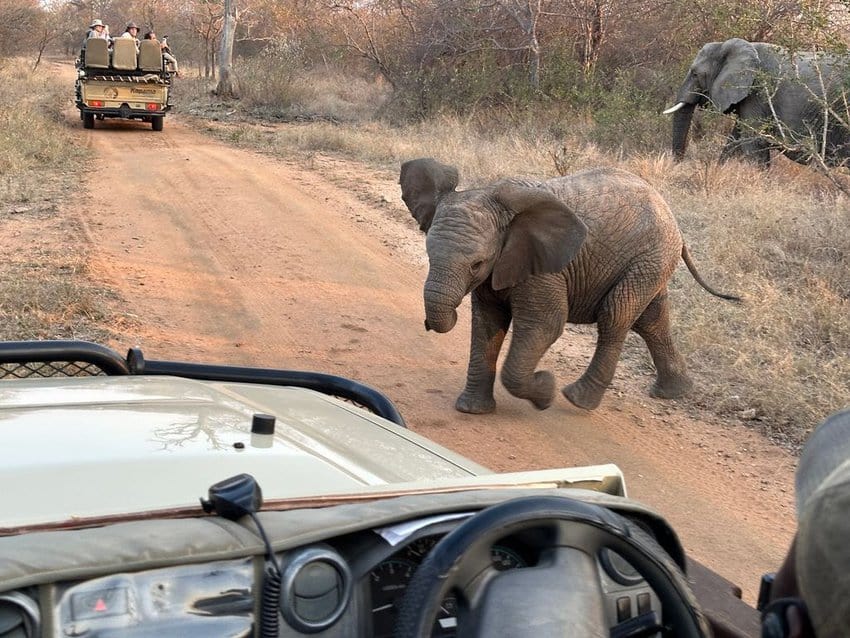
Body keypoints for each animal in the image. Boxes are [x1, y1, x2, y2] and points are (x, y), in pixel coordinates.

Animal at [399, 157, 740, 413]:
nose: (430, 323)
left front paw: (545, 390)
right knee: (651, 320)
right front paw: (472, 410)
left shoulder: (542, 271)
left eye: (477, 264)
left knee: (616, 316)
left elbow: (546, 324)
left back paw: (577, 400)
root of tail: (673, 220)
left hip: (649, 257)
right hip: (650, 262)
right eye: (428, 254)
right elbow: (487, 323)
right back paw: (673, 392)